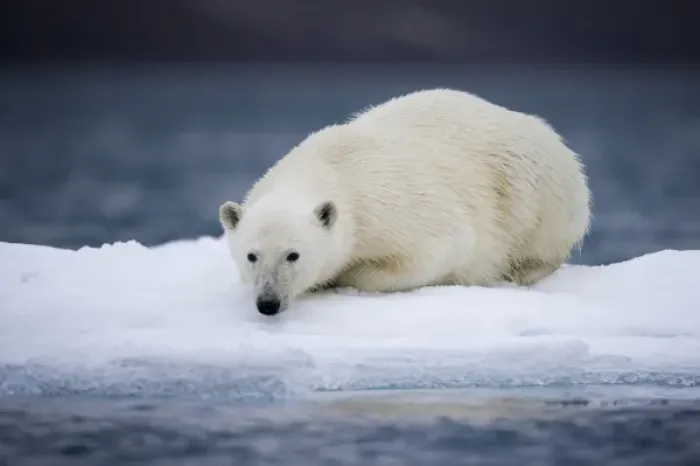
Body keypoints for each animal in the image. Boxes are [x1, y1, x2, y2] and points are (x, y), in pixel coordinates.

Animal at [219, 88, 591, 316]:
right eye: (252, 255)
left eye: (293, 255)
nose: (268, 303)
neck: (330, 167)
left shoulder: (391, 206)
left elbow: (441, 248)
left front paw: (345, 274)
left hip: (534, 181)